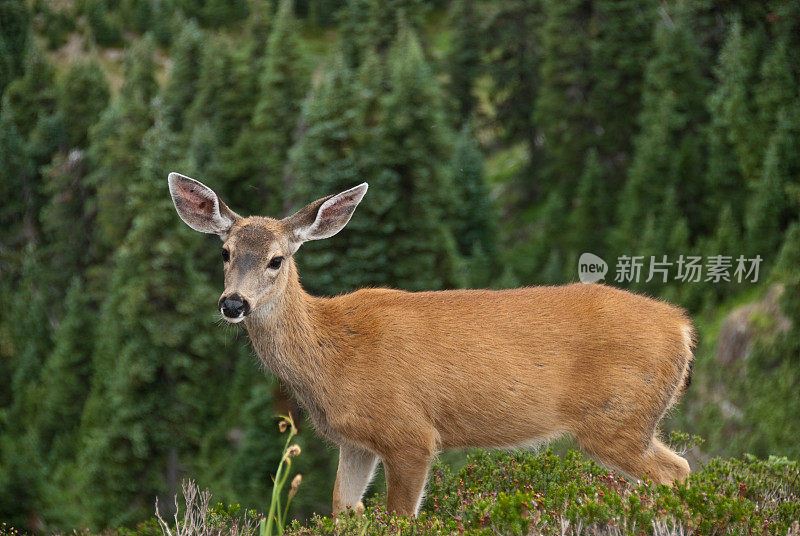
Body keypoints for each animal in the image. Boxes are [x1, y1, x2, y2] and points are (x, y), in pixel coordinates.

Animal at [167, 172, 692, 516]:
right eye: (225, 252)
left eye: (276, 260)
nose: (233, 303)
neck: (333, 356)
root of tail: (683, 328)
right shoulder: (356, 442)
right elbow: (343, 510)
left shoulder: (410, 433)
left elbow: (400, 516)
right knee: (682, 470)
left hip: (618, 416)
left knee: (676, 474)